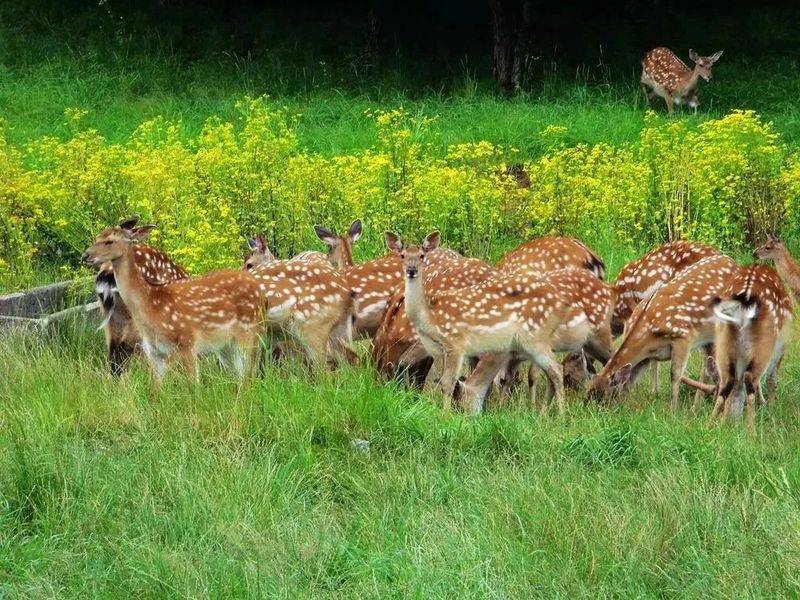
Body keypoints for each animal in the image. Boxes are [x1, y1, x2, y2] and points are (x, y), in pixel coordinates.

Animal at [83, 220, 265, 385]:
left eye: (109, 240)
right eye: (96, 237)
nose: (85, 255)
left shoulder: (186, 344)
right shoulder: (158, 352)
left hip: (247, 334)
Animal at [385, 231, 594, 414]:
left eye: (422, 255)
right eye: (402, 255)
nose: (411, 270)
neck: (429, 316)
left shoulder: (456, 343)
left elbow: (448, 382)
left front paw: (445, 415)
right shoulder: (436, 348)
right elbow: (438, 380)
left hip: (534, 339)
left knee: (555, 369)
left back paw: (558, 414)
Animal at [588, 254, 737, 409]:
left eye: (603, 396)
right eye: (588, 391)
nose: (591, 409)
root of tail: (732, 261)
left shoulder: (683, 336)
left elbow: (675, 375)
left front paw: (673, 409)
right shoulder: (646, 357)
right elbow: (631, 380)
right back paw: (698, 405)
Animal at [709, 265, 792, 430]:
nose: (731, 420)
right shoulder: (782, 345)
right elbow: (771, 380)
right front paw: (770, 408)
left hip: (722, 341)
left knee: (727, 380)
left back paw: (710, 425)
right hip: (765, 342)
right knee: (751, 379)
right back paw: (751, 430)